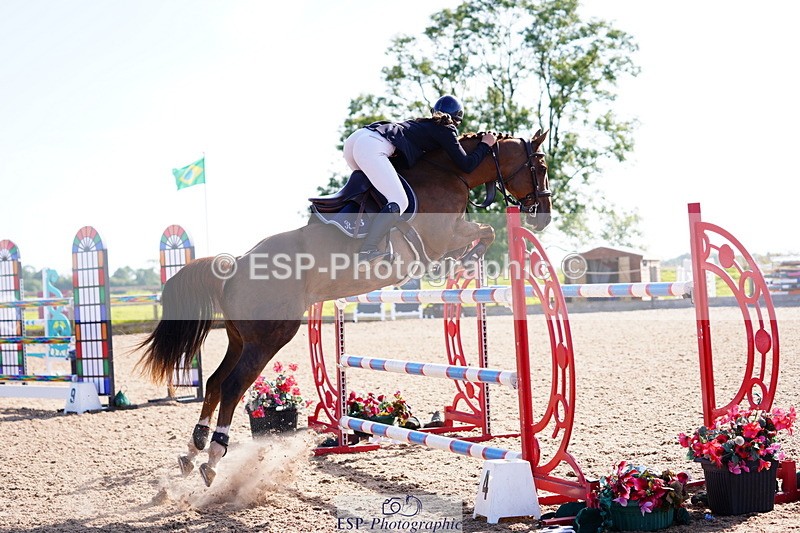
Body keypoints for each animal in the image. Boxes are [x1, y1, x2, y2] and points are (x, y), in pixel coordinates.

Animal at [137, 129, 552, 486]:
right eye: (541, 165)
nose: (543, 216)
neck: (450, 170)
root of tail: (237, 264)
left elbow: (485, 232)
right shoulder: (443, 235)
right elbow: (487, 232)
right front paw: (467, 258)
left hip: (242, 338)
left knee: (215, 381)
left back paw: (193, 450)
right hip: (271, 337)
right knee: (234, 385)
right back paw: (213, 457)